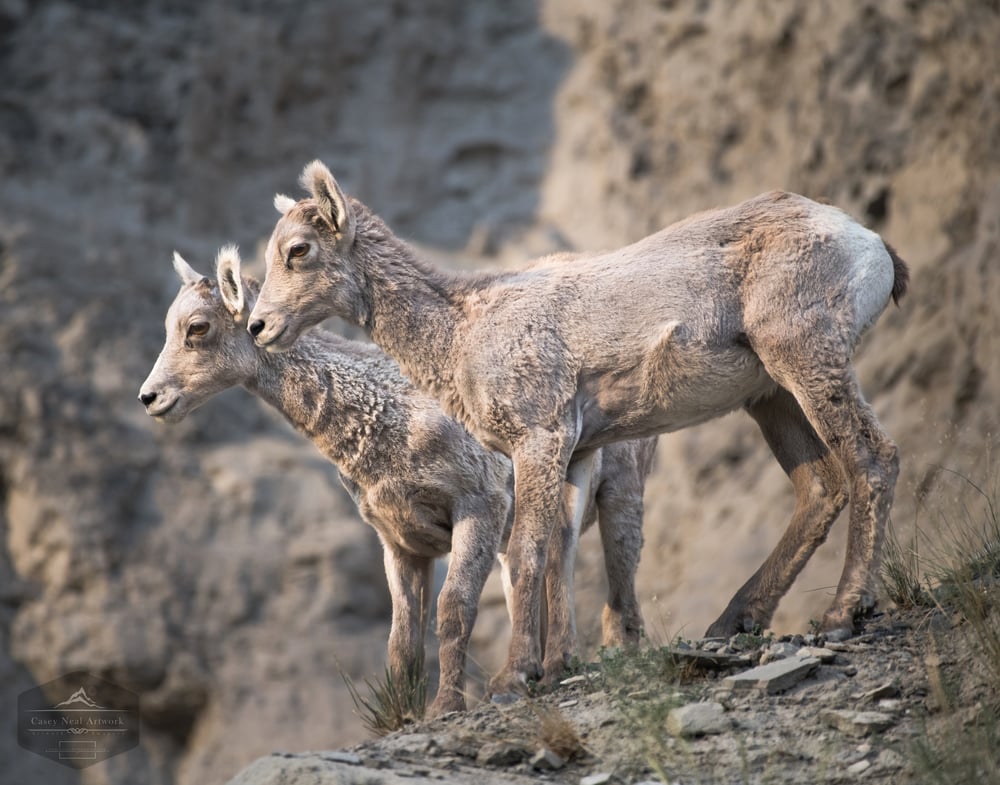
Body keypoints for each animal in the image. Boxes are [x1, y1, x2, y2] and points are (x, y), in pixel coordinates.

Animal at [141, 247, 656, 716]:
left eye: (198, 327)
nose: (151, 397)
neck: (393, 419)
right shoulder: (400, 542)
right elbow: (402, 642)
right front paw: (403, 718)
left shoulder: (478, 509)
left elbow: (455, 609)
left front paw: (446, 706)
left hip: (617, 490)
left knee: (604, 565)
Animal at [246, 159, 912, 700]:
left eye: (299, 250)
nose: (257, 326)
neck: (462, 329)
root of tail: (869, 242)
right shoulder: (577, 452)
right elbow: (556, 553)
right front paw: (555, 667)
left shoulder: (539, 439)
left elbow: (526, 553)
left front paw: (513, 678)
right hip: (770, 395)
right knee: (820, 485)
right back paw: (732, 622)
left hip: (805, 356)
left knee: (872, 457)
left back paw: (842, 614)